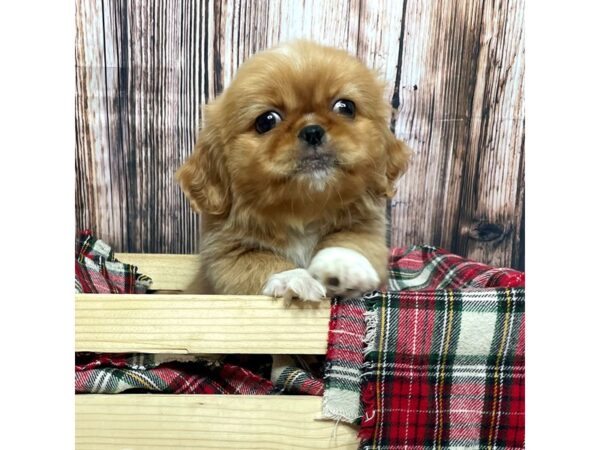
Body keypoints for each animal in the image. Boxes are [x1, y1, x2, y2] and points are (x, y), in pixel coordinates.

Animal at [176, 41, 410, 302]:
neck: (302, 211)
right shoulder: (227, 256)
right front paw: (294, 279)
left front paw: (342, 266)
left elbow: (351, 241)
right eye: (266, 121)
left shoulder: (366, 228)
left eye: (345, 107)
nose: (312, 130)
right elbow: (263, 260)